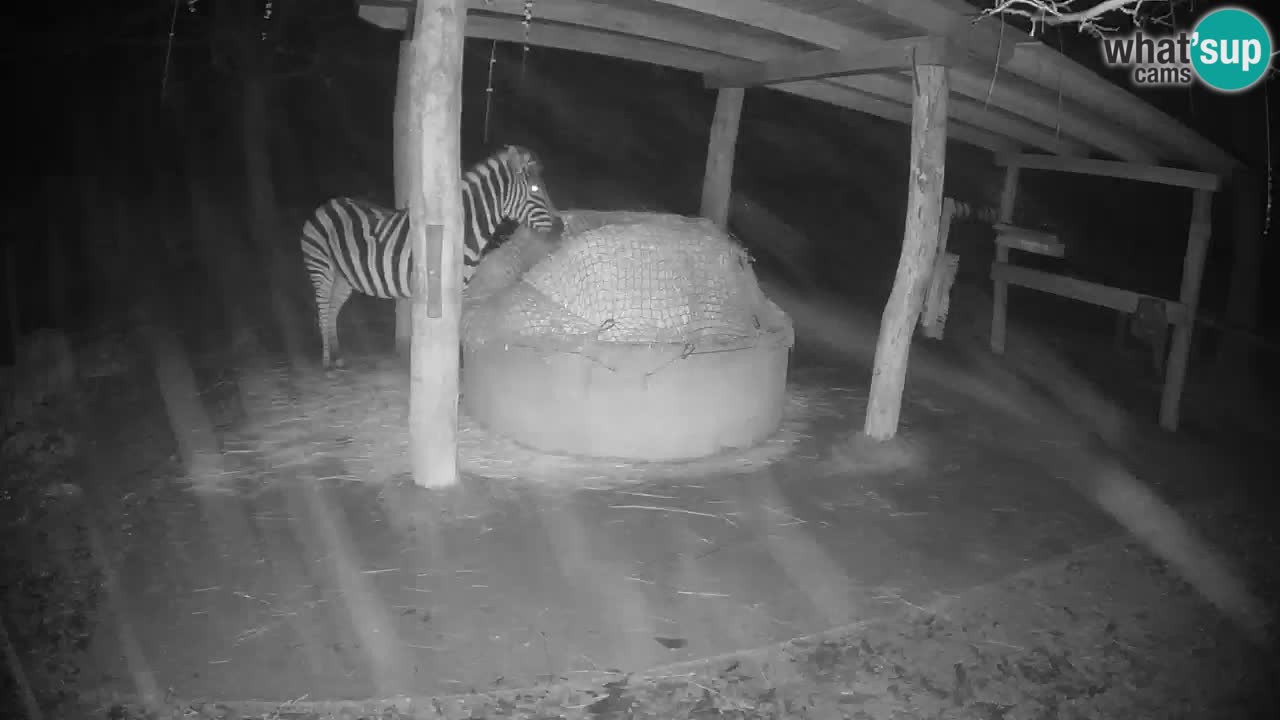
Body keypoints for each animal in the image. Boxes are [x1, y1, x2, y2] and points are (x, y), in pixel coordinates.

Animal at [300, 145, 561, 368]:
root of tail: (326, 204)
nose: (560, 229)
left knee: (333, 309)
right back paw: (326, 360)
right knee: (323, 309)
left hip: (344, 276)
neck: (465, 231)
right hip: (321, 266)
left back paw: (337, 356)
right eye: (536, 190)